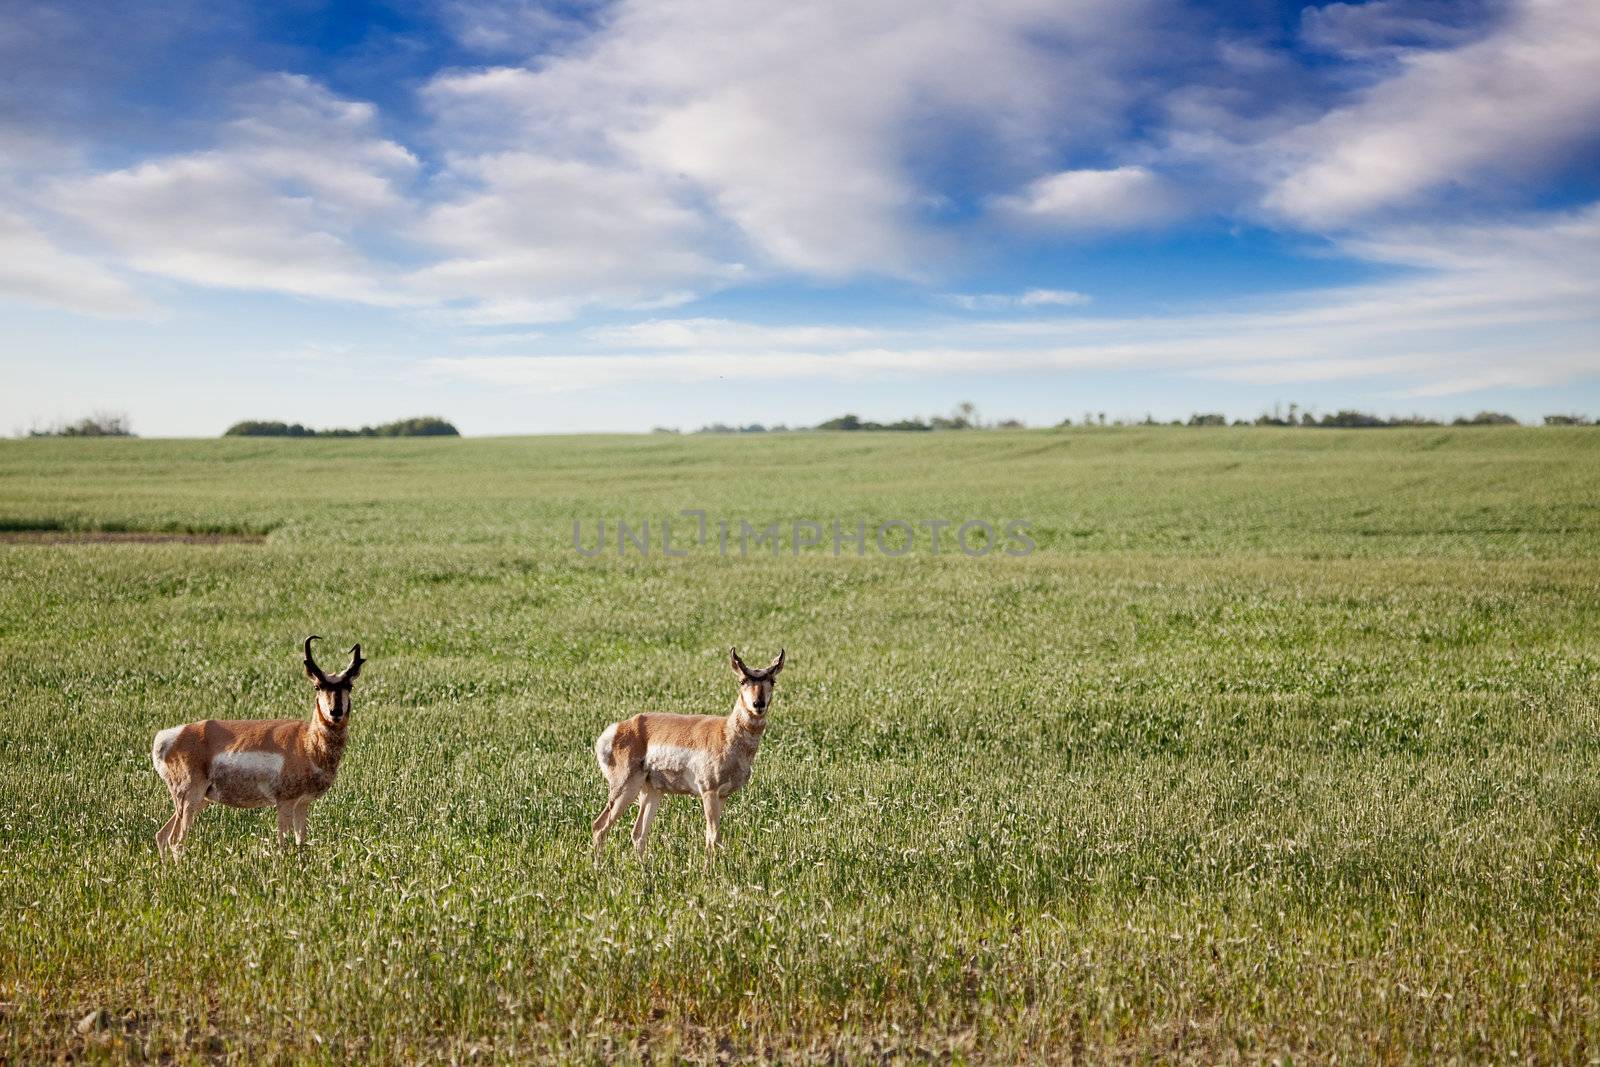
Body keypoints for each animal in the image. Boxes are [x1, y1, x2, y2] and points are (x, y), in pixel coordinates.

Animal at [150, 633, 363, 857]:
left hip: (199, 800)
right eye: (318, 686)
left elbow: (301, 844)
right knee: (175, 841)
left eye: (349, 686)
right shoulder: (284, 803)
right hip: (190, 798)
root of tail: (168, 736)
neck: (305, 741)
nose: (335, 712)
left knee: (161, 835)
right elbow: (283, 845)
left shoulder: (302, 804)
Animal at [592, 643, 784, 857]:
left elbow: (713, 839)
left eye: (772, 681)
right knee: (599, 826)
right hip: (625, 788)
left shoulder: (722, 796)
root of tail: (618, 728)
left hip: (651, 792)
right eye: (742, 680)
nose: (758, 704)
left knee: (638, 834)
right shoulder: (709, 791)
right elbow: (713, 839)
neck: (726, 732)